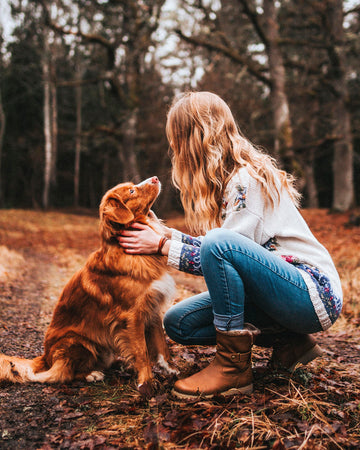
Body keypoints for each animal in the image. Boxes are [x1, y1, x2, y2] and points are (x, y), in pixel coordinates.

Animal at [0, 176, 177, 394]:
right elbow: (141, 351)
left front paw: (170, 369)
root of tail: (45, 358)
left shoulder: (152, 308)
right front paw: (146, 383)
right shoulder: (132, 315)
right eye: (131, 191)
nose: (155, 178)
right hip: (75, 342)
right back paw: (92, 374)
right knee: (61, 373)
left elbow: (161, 344)